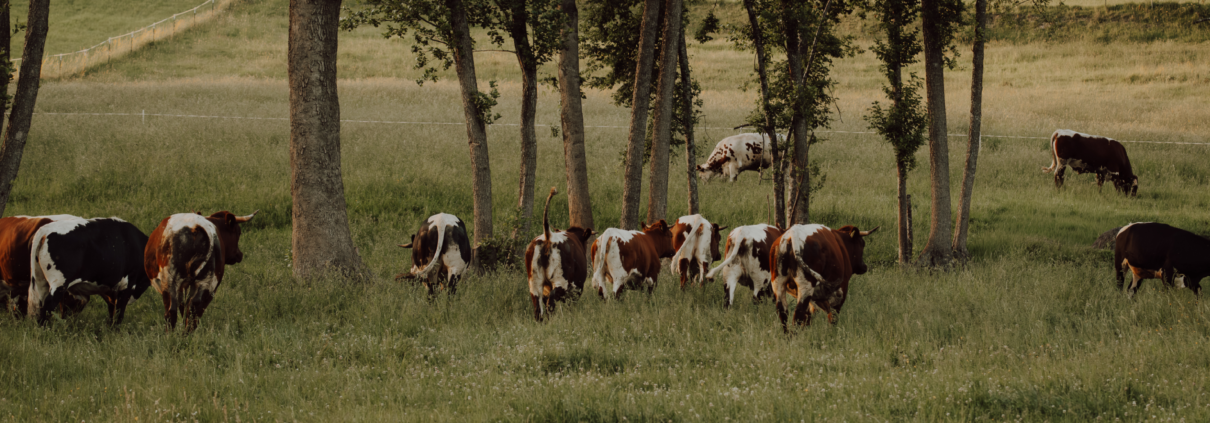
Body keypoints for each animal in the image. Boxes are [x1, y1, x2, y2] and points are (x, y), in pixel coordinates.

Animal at [525, 187, 595, 321]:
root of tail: (548, 235)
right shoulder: (577, 288)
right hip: (561, 282)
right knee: (551, 303)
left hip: (535, 284)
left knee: (538, 308)